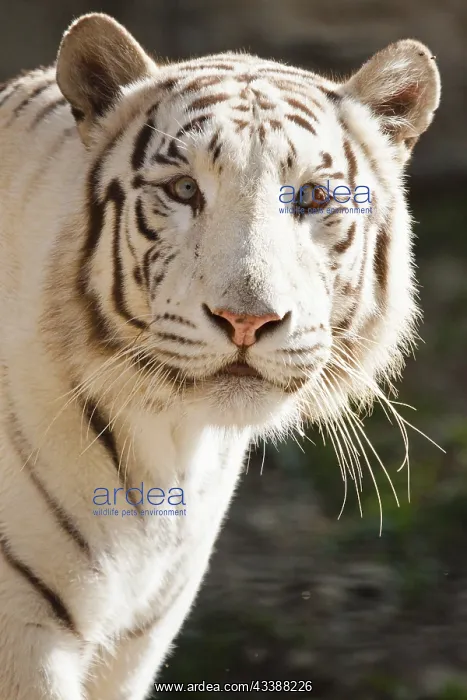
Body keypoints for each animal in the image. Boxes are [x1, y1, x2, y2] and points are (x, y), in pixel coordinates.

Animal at [0, 12, 440, 700]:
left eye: (314, 198)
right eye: (185, 189)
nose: (247, 320)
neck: (166, 442)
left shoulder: (139, 637)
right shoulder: (24, 630)